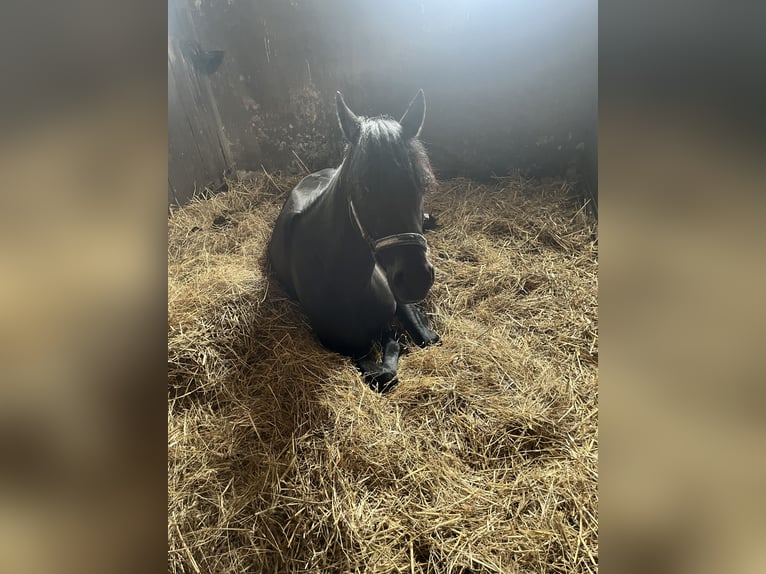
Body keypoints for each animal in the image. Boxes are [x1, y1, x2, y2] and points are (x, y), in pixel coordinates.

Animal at [270, 91, 440, 396]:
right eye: (363, 187)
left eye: (420, 184)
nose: (416, 279)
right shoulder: (342, 345)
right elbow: (384, 374)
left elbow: (422, 336)